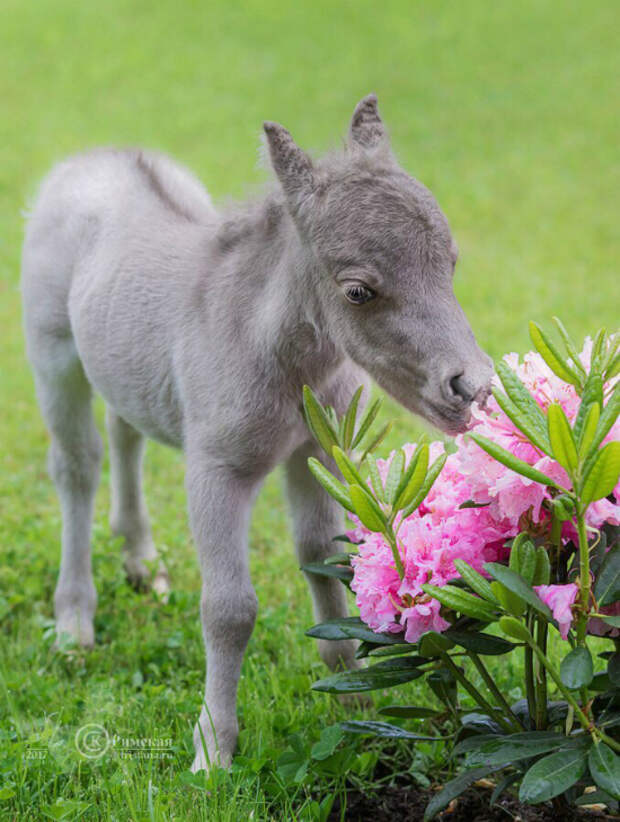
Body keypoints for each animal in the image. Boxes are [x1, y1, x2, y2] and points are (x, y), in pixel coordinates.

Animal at [21, 95, 492, 772]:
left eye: (450, 264)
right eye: (358, 290)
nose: (472, 387)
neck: (279, 355)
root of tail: (93, 157)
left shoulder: (318, 451)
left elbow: (324, 559)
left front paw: (355, 703)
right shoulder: (216, 469)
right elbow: (229, 610)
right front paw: (213, 751)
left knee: (125, 429)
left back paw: (141, 561)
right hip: (53, 353)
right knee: (76, 466)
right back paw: (75, 624)